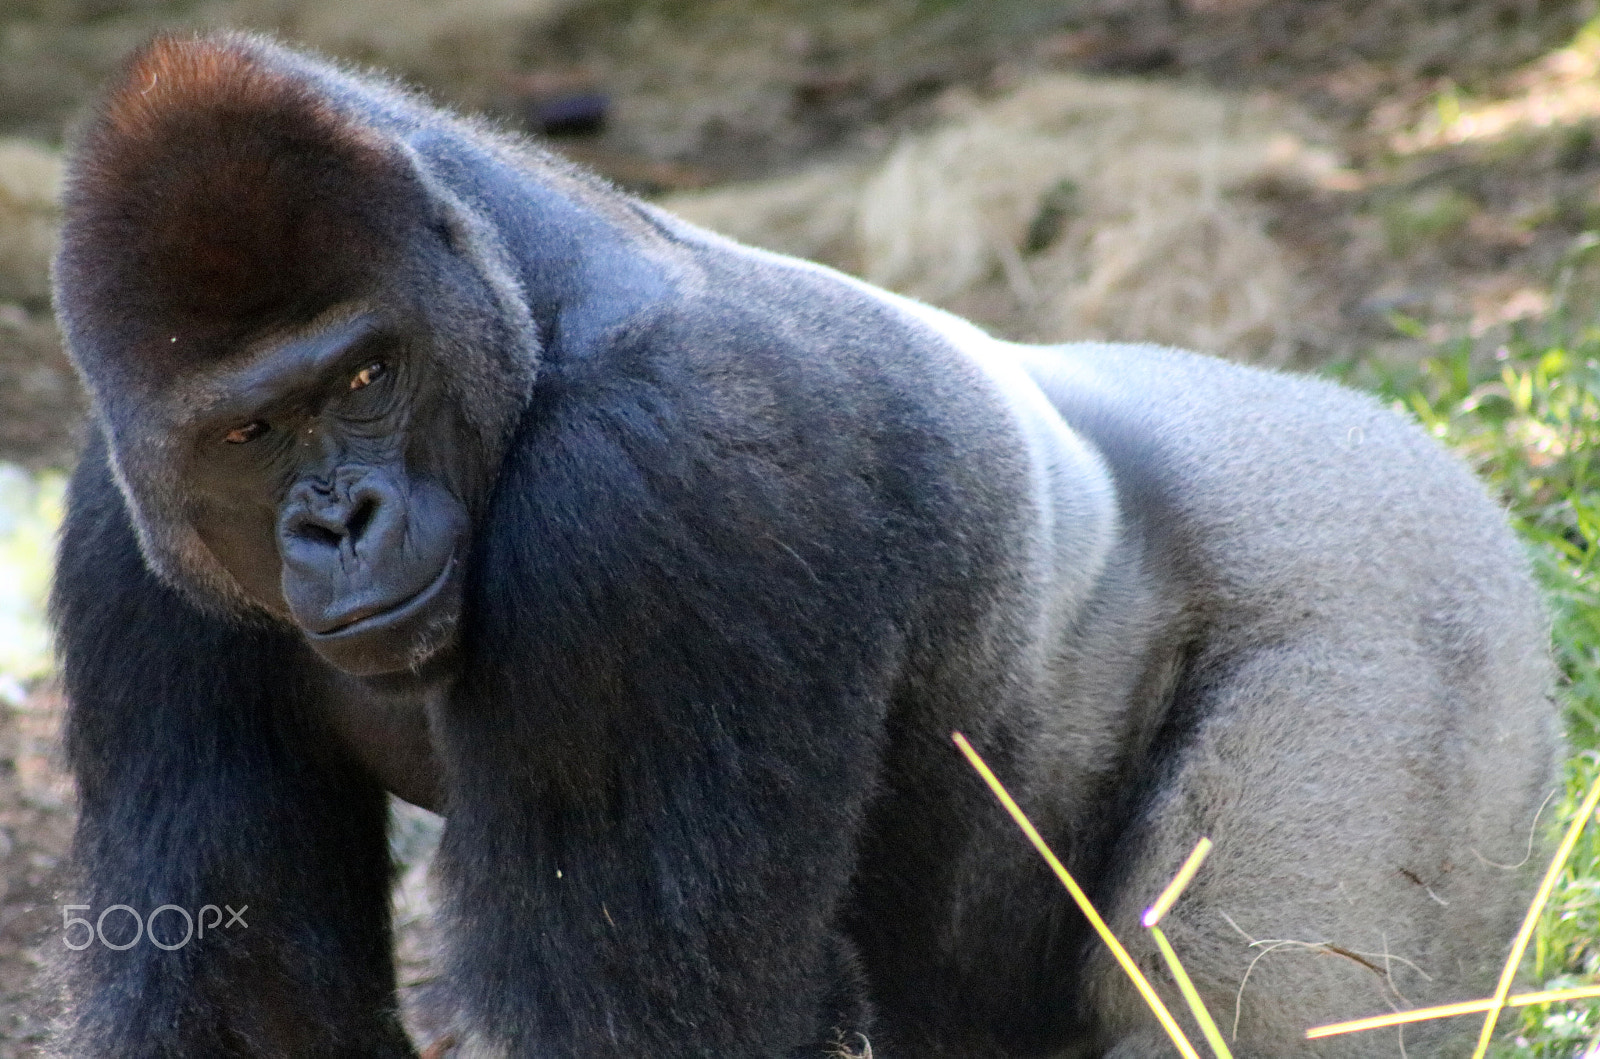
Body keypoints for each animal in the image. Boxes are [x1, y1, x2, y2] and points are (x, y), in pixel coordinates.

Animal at [48, 31, 1556, 1058]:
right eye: (251, 432)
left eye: (367, 377)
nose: (339, 520)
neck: (512, 300)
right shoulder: (128, 537)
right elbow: (247, 993)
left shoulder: (659, 492)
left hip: (1409, 595)